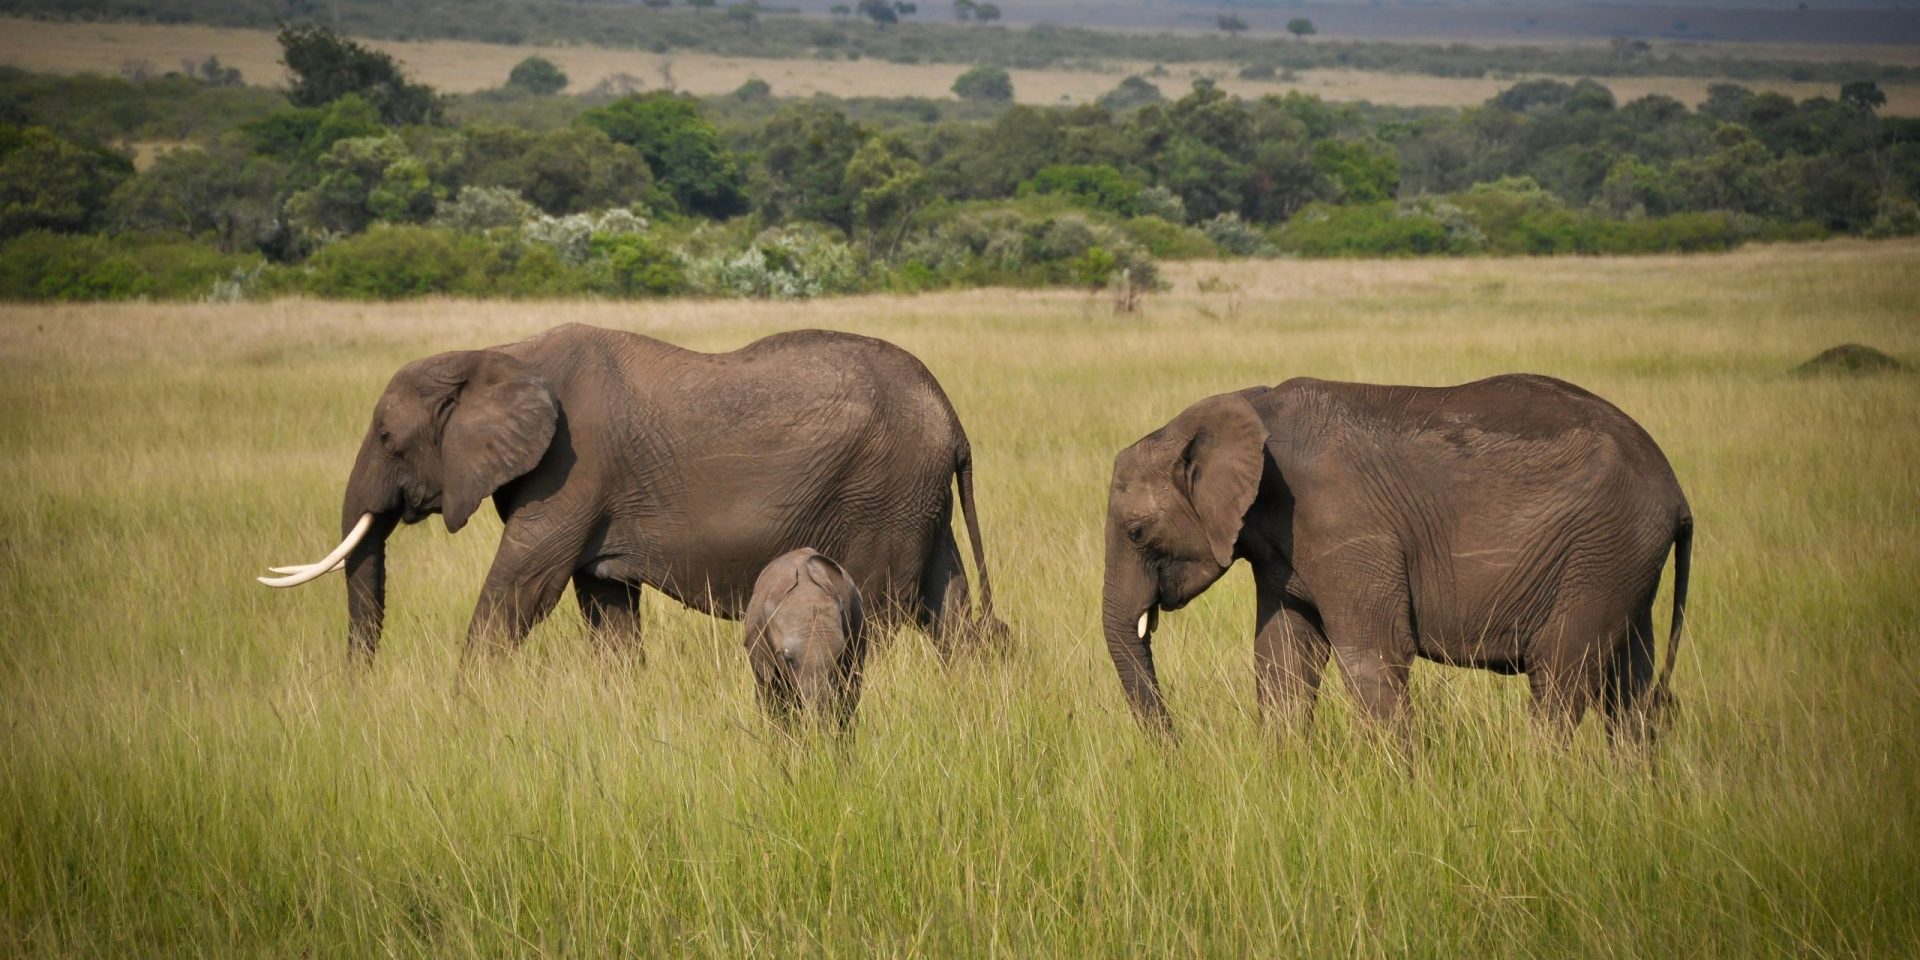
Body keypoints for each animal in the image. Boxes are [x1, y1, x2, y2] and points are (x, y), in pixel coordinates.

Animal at [259, 323, 1001, 663]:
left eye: (388, 437)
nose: (358, 690)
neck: (497, 353)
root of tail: (953, 417)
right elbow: (606, 609)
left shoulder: (571, 472)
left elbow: (520, 591)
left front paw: (462, 706)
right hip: (915, 497)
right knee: (953, 610)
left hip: (883, 492)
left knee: (885, 612)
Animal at [1102, 374, 1692, 746]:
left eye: (1136, 532)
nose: (1178, 750)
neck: (1245, 408)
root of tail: (1677, 491)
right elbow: (1282, 658)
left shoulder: (1345, 525)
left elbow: (1373, 655)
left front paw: (1402, 792)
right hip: (1623, 560)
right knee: (1629, 688)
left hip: (1601, 551)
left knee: (1562, 677)